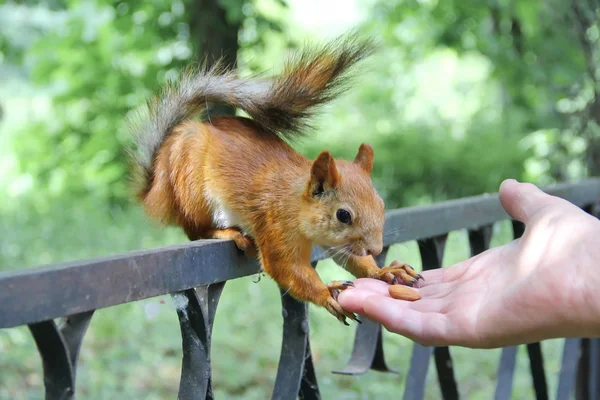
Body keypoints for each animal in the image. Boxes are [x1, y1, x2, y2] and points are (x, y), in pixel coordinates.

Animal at [130, 32, 422, 324]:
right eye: (343, 215)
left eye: (381, 205)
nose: (376, 249)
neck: (297, 202)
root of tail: (156, 188)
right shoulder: (275, 225)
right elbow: (285, 267)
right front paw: (326, 292)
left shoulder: (338, 244)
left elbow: (351, 259)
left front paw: (383, 271)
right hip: (191, 189)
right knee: (194, 230)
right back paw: (226, 232)